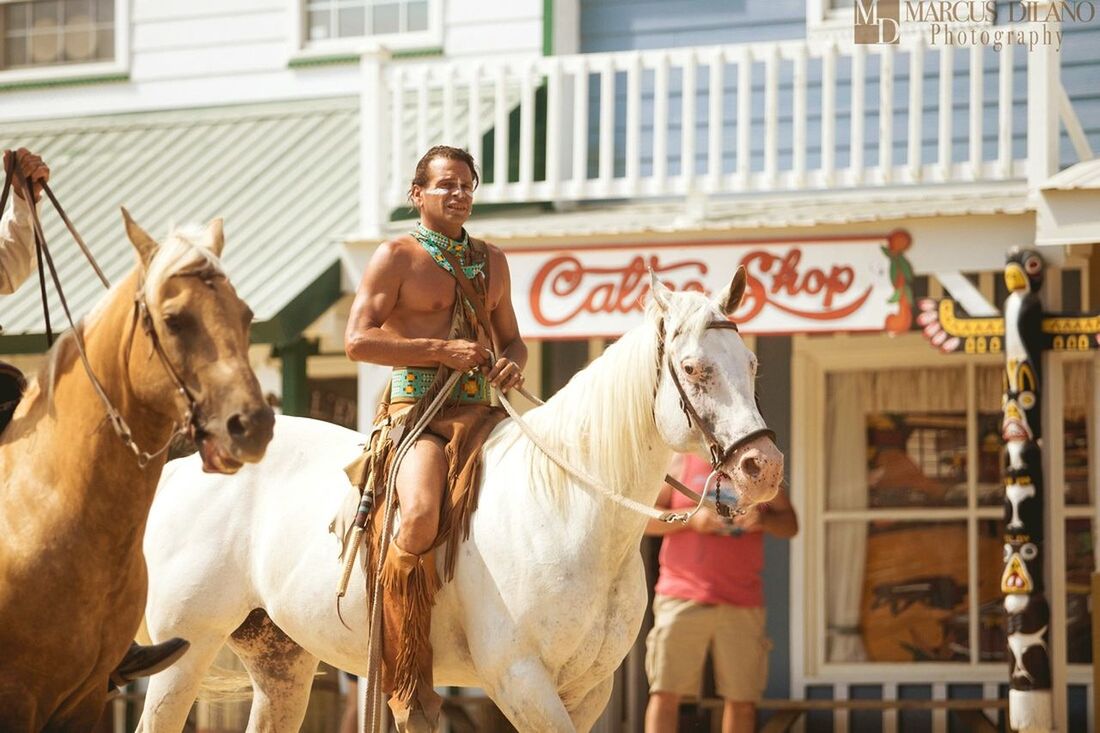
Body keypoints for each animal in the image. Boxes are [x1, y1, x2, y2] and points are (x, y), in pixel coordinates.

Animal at [135, 270, 783, 726]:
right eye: (694, 368)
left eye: (753, 362)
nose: (764, 468)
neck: (570, 511)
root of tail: (180, 472)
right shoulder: (520, 680)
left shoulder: (588, 689)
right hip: (185, 652)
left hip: (280, 661)